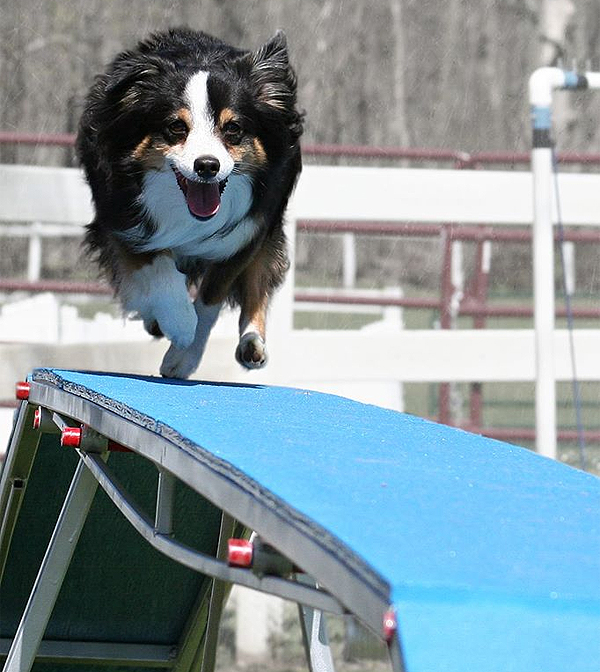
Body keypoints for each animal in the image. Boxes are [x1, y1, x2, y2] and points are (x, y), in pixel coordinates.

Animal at [77, 27, 302, 378]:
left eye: (233, 128)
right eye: (176, 127)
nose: (207, 166)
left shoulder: (246, 233)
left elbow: (210, 301)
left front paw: (184, 354)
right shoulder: (122, 221)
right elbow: (156, 266)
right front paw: (180, 323)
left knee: (257, 282)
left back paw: (252, 343)